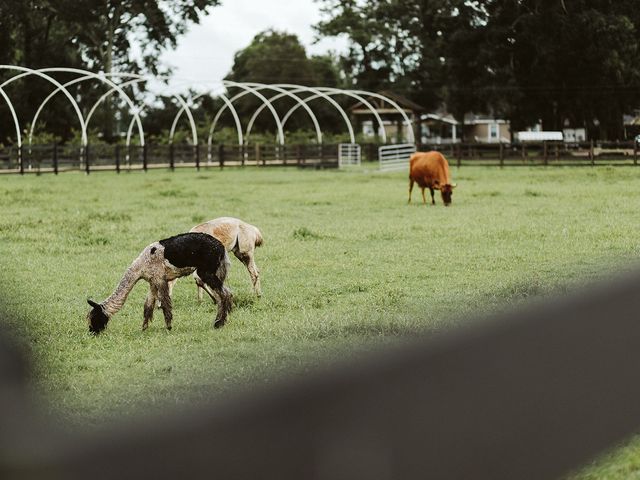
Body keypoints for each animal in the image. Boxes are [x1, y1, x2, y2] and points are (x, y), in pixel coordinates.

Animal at [87, 232, 232, 334]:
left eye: (94, 317)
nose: (92, 332)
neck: (140, 267)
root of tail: (221, 247)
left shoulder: (160, 279)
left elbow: (165, 303)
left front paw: (168, 327)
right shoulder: (152, 282)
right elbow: (148, 305)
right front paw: (144, 328)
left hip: (206, 271)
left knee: (224, 293)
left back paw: (218, 323)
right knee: (225, 293)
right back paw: (221, 321)